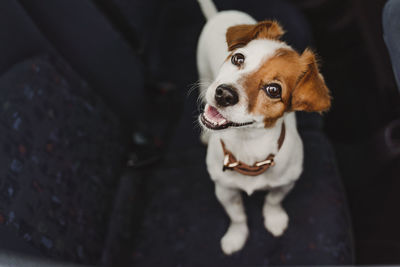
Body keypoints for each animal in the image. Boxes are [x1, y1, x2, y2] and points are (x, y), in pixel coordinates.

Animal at [196, 0, 332, 255]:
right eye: (238, 58)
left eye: (273, 90)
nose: (224, 94)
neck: (247, 144)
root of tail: (220, 14)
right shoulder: (225, 191)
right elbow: (237, 216)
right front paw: (236, 236)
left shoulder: (285, 184)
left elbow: (273, 201)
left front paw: (274, 219)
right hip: (203, 75)